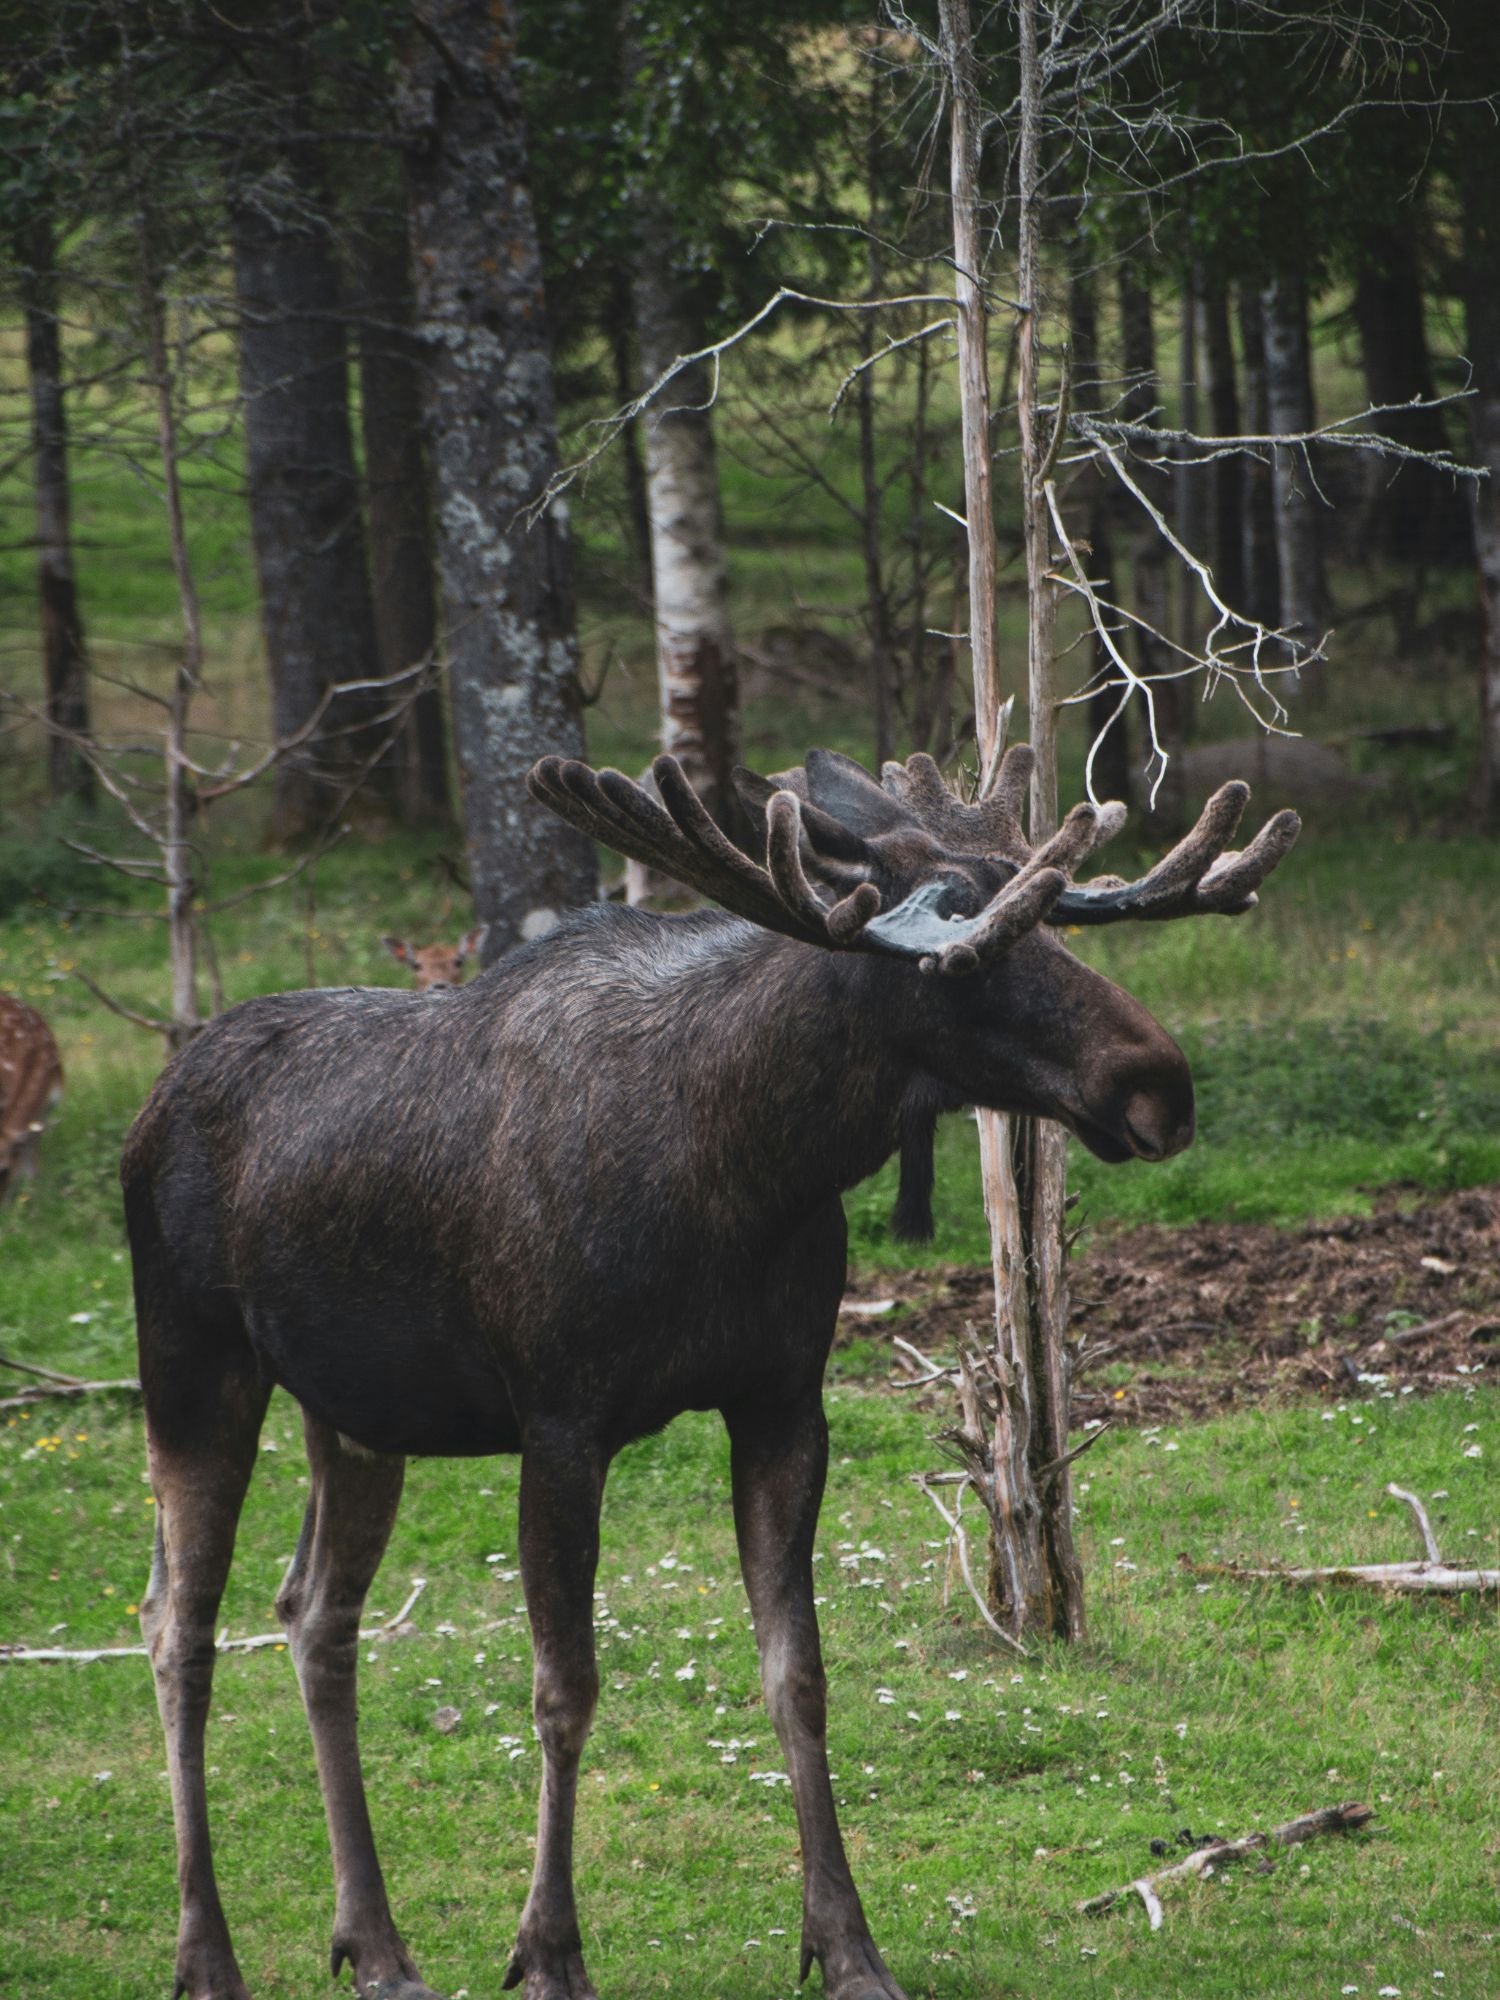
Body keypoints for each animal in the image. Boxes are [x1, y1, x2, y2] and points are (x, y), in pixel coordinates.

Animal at [121, 743, 1299, 2000]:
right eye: (960, 962)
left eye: (1056, 919)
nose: (1161, 1083)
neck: (751, 1163)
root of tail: (147, 1109)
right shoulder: (561, 1416)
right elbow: (564, 1687)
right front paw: (549, 1948)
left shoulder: (781, 1400)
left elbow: (799, 1674)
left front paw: (847, 1943)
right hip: (192, 1362)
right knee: (177, 1625)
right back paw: (209, 1950)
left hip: (355, 1412)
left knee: (313, 1614)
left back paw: (377, 1944)